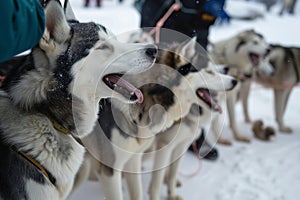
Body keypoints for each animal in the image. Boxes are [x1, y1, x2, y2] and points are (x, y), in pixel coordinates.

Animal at [74, 37, 237, 198]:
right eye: (209, 72)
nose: (235, 80)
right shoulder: (115, 168)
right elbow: (157, 183)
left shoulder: (177, 147)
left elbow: (170, 175)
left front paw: (172, 193)